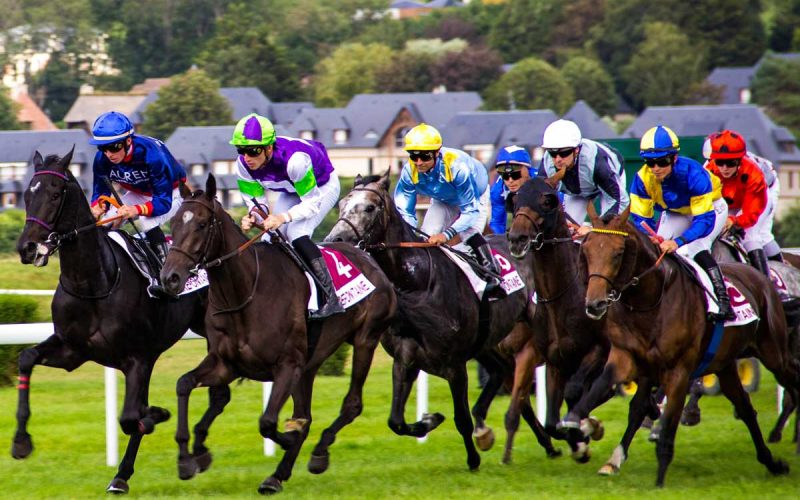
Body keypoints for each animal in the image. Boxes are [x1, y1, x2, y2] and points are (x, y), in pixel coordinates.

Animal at [14, 147, 208, 492]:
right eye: (26, 194)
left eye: (55, 194)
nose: (28, 248)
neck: (93, 283)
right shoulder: (72, 350)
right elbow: (25, 358)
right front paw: (21, 441)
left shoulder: (138, 359)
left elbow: (132, 417)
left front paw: (157, 413)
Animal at [158, 174, 396, 494]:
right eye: (174, 223)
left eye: (202, 224)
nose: (169, 278)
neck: (245, 292)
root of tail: (367, 255)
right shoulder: (226, 364)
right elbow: (183, 384)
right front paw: (187, 459)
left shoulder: (286, 365)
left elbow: (269, 422)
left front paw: (288, 441)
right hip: (309, 364)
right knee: (306, 413)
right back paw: (278, 474)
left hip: (365, 340)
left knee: (352, 404)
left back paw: (317, 454)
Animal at [322, 171, 560, 468]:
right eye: (342, 204)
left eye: (369, 207)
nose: (335, 239)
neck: (416, 284)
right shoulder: (405, 361)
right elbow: (395, 422)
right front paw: (429, 421)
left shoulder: (454, 364)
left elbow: (461, 419)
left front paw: (473, 459)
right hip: (488, 343)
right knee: (506, 377)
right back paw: (543, 443)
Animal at [506, 176, 612, 460]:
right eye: (515, 200)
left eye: (547, 200)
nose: (517, 238)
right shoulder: (555, 361)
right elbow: (551, 422)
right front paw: (578, 442)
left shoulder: (599, 350)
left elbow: (575, 393)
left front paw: (582, 432)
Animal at [564, 203, 800, 484]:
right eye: (587, 250)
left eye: (618, 253)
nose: (595, 304)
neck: (650, 301)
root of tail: (762, 279)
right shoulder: (626, 357)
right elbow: (600, 391)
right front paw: (581, 429)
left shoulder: (679, 370)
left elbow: (668, 422)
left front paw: (658, 478)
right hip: (725, 364)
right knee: (745, 407)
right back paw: (772, 461)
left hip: (774, 352)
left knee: (792, 380)